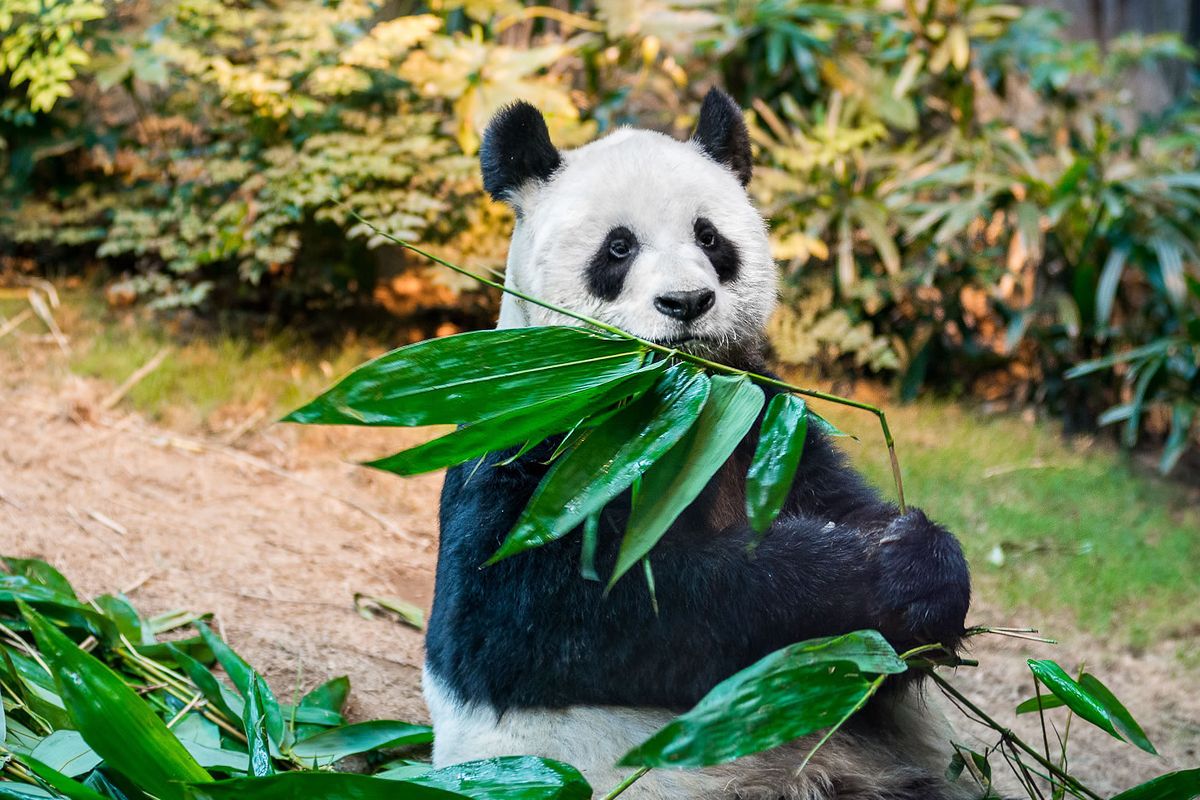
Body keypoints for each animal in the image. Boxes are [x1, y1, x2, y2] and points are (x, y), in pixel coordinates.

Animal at [424, 89, 974, 800]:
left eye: (709, 237)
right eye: (619, 247)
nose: (685, 302)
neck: (682, 400)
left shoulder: (763, 421)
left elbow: (838, 502)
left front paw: (920, 563)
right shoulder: (540, 430)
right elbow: (541, 610)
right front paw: (854, 574)